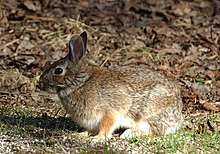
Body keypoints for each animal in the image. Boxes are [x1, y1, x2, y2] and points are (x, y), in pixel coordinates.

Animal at [38, 31, 183, 140]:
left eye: (58, 70)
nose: (40, 83)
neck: (80, 83)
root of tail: (177, 115)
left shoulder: (111, 111)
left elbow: (107, 126)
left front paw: (98, 139)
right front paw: (80, 134)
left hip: (148, 114)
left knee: (152, 131)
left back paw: (128, 134)